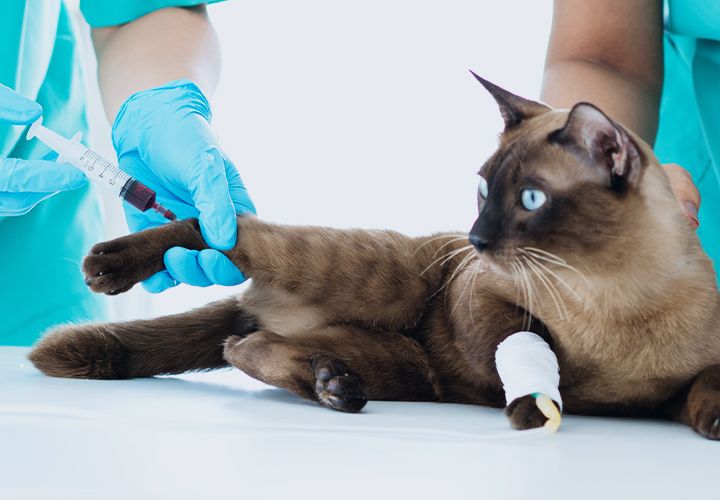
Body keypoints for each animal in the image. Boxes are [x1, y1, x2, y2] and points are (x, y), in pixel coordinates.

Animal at [28, 73, 720, 438]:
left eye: (529, 198)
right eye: (481, 190)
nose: (476, 239)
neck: (611, 301)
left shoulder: (686, 375)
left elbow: (704, 385)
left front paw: (712, 424)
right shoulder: (490, 295)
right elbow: (521, 347)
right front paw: (533, 405)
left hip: (406, 371)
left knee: (243, 346)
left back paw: (334, 386)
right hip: (368, 278)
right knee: (220, 231)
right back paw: (108, 265)